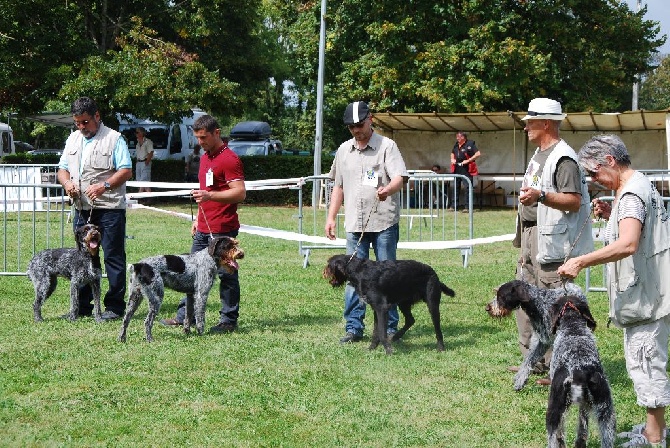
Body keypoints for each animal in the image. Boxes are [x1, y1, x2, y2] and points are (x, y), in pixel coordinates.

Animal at [322, 256, 456, 354]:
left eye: (329, 264)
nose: (323, 273)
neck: (358, 270)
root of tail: (434, 273)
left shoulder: (382, 307)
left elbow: (382, 332)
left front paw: (388, 350)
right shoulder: (376, 308)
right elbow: (376, 332)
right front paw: (372, 348)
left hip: (432, 303)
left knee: (437, 328)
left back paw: (441, 348)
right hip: (404, 302)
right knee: (410, 320)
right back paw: (395, 337)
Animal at [548, 294, 616, 448]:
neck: (573, 329)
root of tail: (578, 370)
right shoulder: (586, 404)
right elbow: (582, 428)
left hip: (553, 410)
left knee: (553, 438)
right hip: (606, 414)